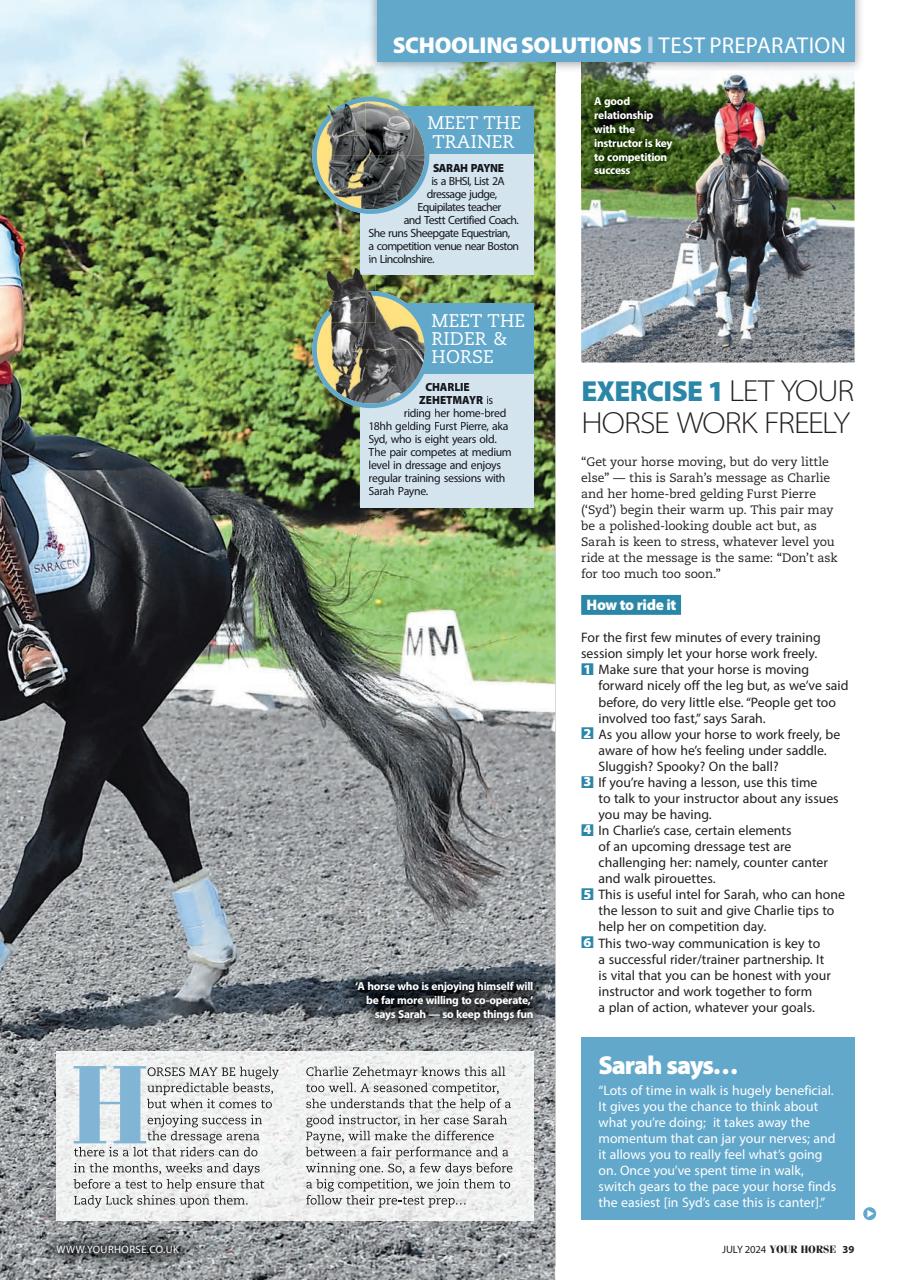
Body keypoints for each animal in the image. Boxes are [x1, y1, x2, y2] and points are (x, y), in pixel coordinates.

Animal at [0, 435, 496, 1012]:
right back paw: (204, 970)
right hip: (95, 697)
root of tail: (182, 497)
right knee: (164, 804)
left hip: (112, 699)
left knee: (59, 844)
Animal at [709, 139, 809, 346]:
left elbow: (750, 288)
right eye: (733, 181)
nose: (742, 221)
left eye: (754, 182)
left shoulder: (756, 250)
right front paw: (724, 328)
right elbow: (723, 282)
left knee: (754, 279)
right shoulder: (721, 244)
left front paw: (746, 331)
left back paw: (752, 320)